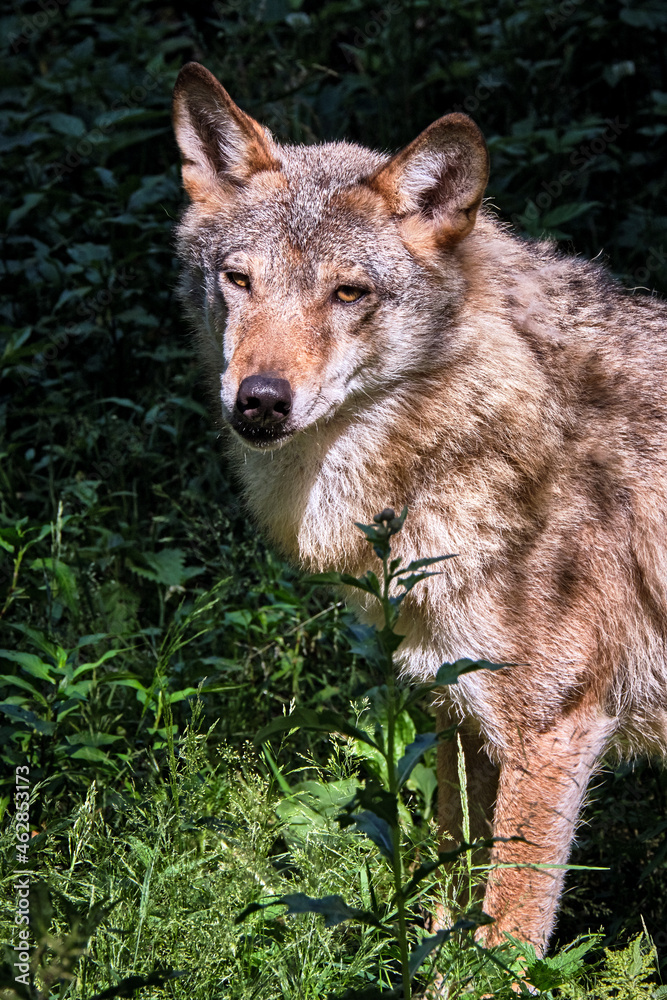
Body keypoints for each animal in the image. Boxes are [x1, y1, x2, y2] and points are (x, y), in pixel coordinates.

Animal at [171, 62, 667, 952]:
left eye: (347, 293)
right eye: (239, 280)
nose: (259, 400)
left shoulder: (552, 732)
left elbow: (503, 941)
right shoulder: (455, 711)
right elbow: (445, 906)